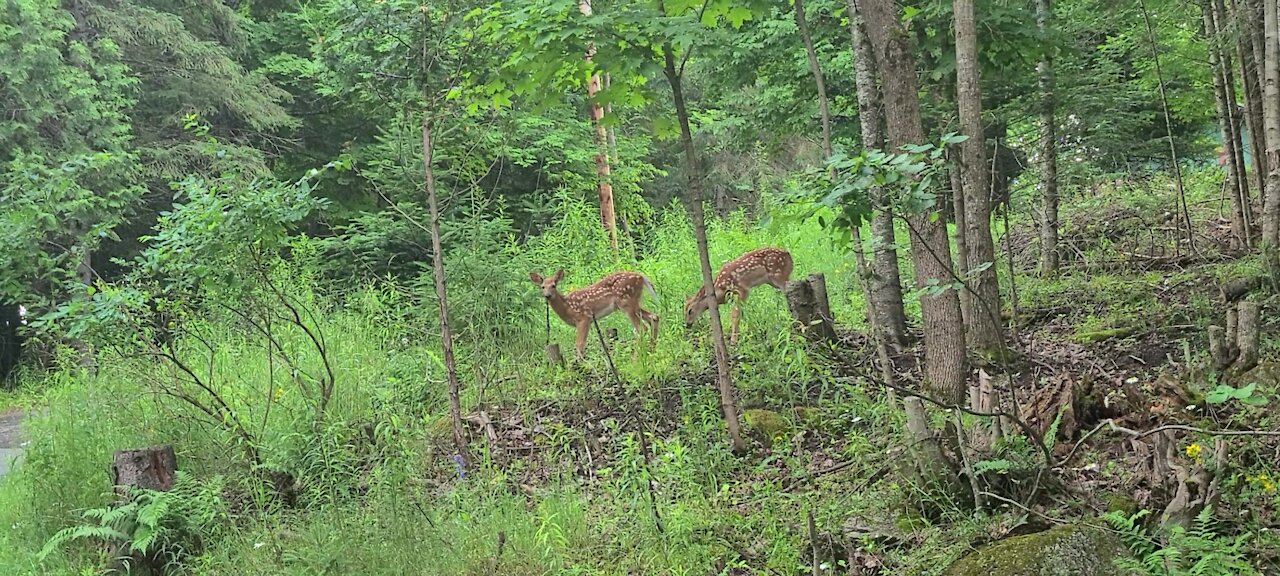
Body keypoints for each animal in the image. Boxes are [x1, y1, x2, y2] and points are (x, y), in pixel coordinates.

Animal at [527, 267, 660, 358]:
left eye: (554, 285)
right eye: (542, 287)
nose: (547, 295)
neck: (567, 307)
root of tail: (640, 276)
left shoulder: (584, 318)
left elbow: (579, 345)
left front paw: (579, 365)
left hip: (626, 302)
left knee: (641, 328)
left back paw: (637, 357)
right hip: (631, 303)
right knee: (654, 317)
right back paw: (651, 350)